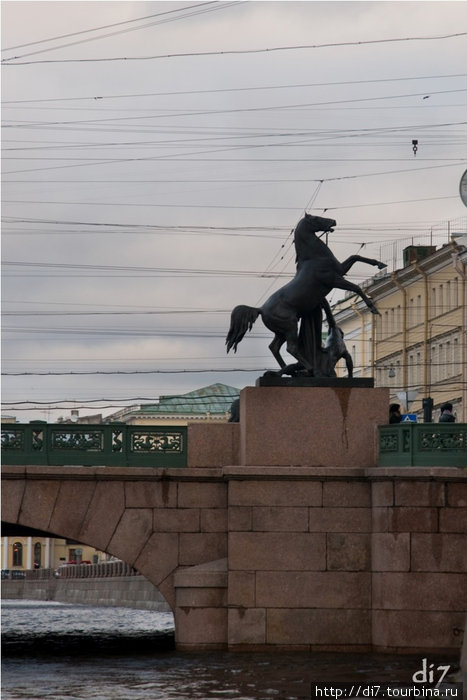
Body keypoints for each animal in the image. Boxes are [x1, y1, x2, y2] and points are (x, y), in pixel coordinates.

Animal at [227, 213, 388, 378]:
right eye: (316, 218)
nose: (333, 221)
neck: (314, 258)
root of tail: (261, 309)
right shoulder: (335, 279)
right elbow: (356, 287)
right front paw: (373, 308)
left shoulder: (341, 270)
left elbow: (355, 256)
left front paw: (380, 264)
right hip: (290, 326)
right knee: (290, 348)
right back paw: (309, 369)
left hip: (281, 332)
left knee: (274, 347)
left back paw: (288, 371)